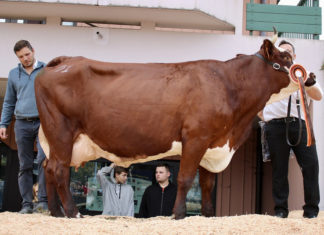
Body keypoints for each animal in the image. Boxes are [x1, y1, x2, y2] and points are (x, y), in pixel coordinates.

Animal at [36, 35, 298, 219]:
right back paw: (72, 213)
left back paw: (56, 212)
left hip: (57, 139)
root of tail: (66, 60)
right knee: (59, 170)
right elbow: (185, 178)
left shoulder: (212, 145)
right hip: (61, 131)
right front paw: (178, 214)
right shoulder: (195, 137)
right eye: (286, 60)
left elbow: (207, 184)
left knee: (48, 168)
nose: (306, 77)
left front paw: (207, 215)